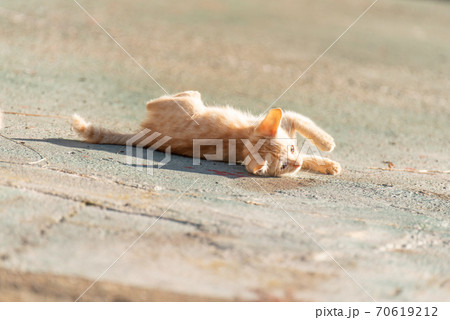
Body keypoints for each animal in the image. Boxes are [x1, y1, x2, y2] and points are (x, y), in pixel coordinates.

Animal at [72, 90, 342, 176]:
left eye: (293, 148)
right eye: (283, 166)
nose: (295, 163)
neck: (244, 140)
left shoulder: (288, 120)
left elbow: (307, 131)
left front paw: (326, 159)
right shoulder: (287, 118)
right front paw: (328, 147)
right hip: (186, 102)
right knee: (158, 99)